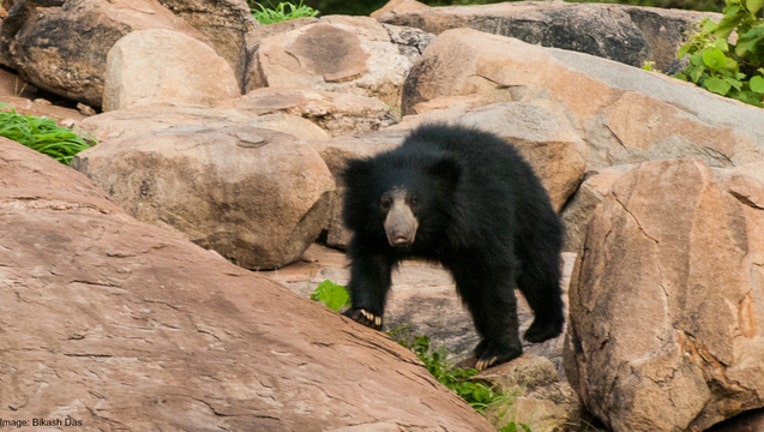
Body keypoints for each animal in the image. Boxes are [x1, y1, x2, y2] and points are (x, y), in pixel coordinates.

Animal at [341, 123, 565, 370]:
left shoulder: (478, 219)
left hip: (528, 214)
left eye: (415, 201)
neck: (432, 229)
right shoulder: (372, 229)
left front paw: (497, 354)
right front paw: (366, 315)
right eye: (384, 202)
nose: (399, 235)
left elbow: (494, 277)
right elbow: (370, 263)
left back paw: (542, 329)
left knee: (537, 269)